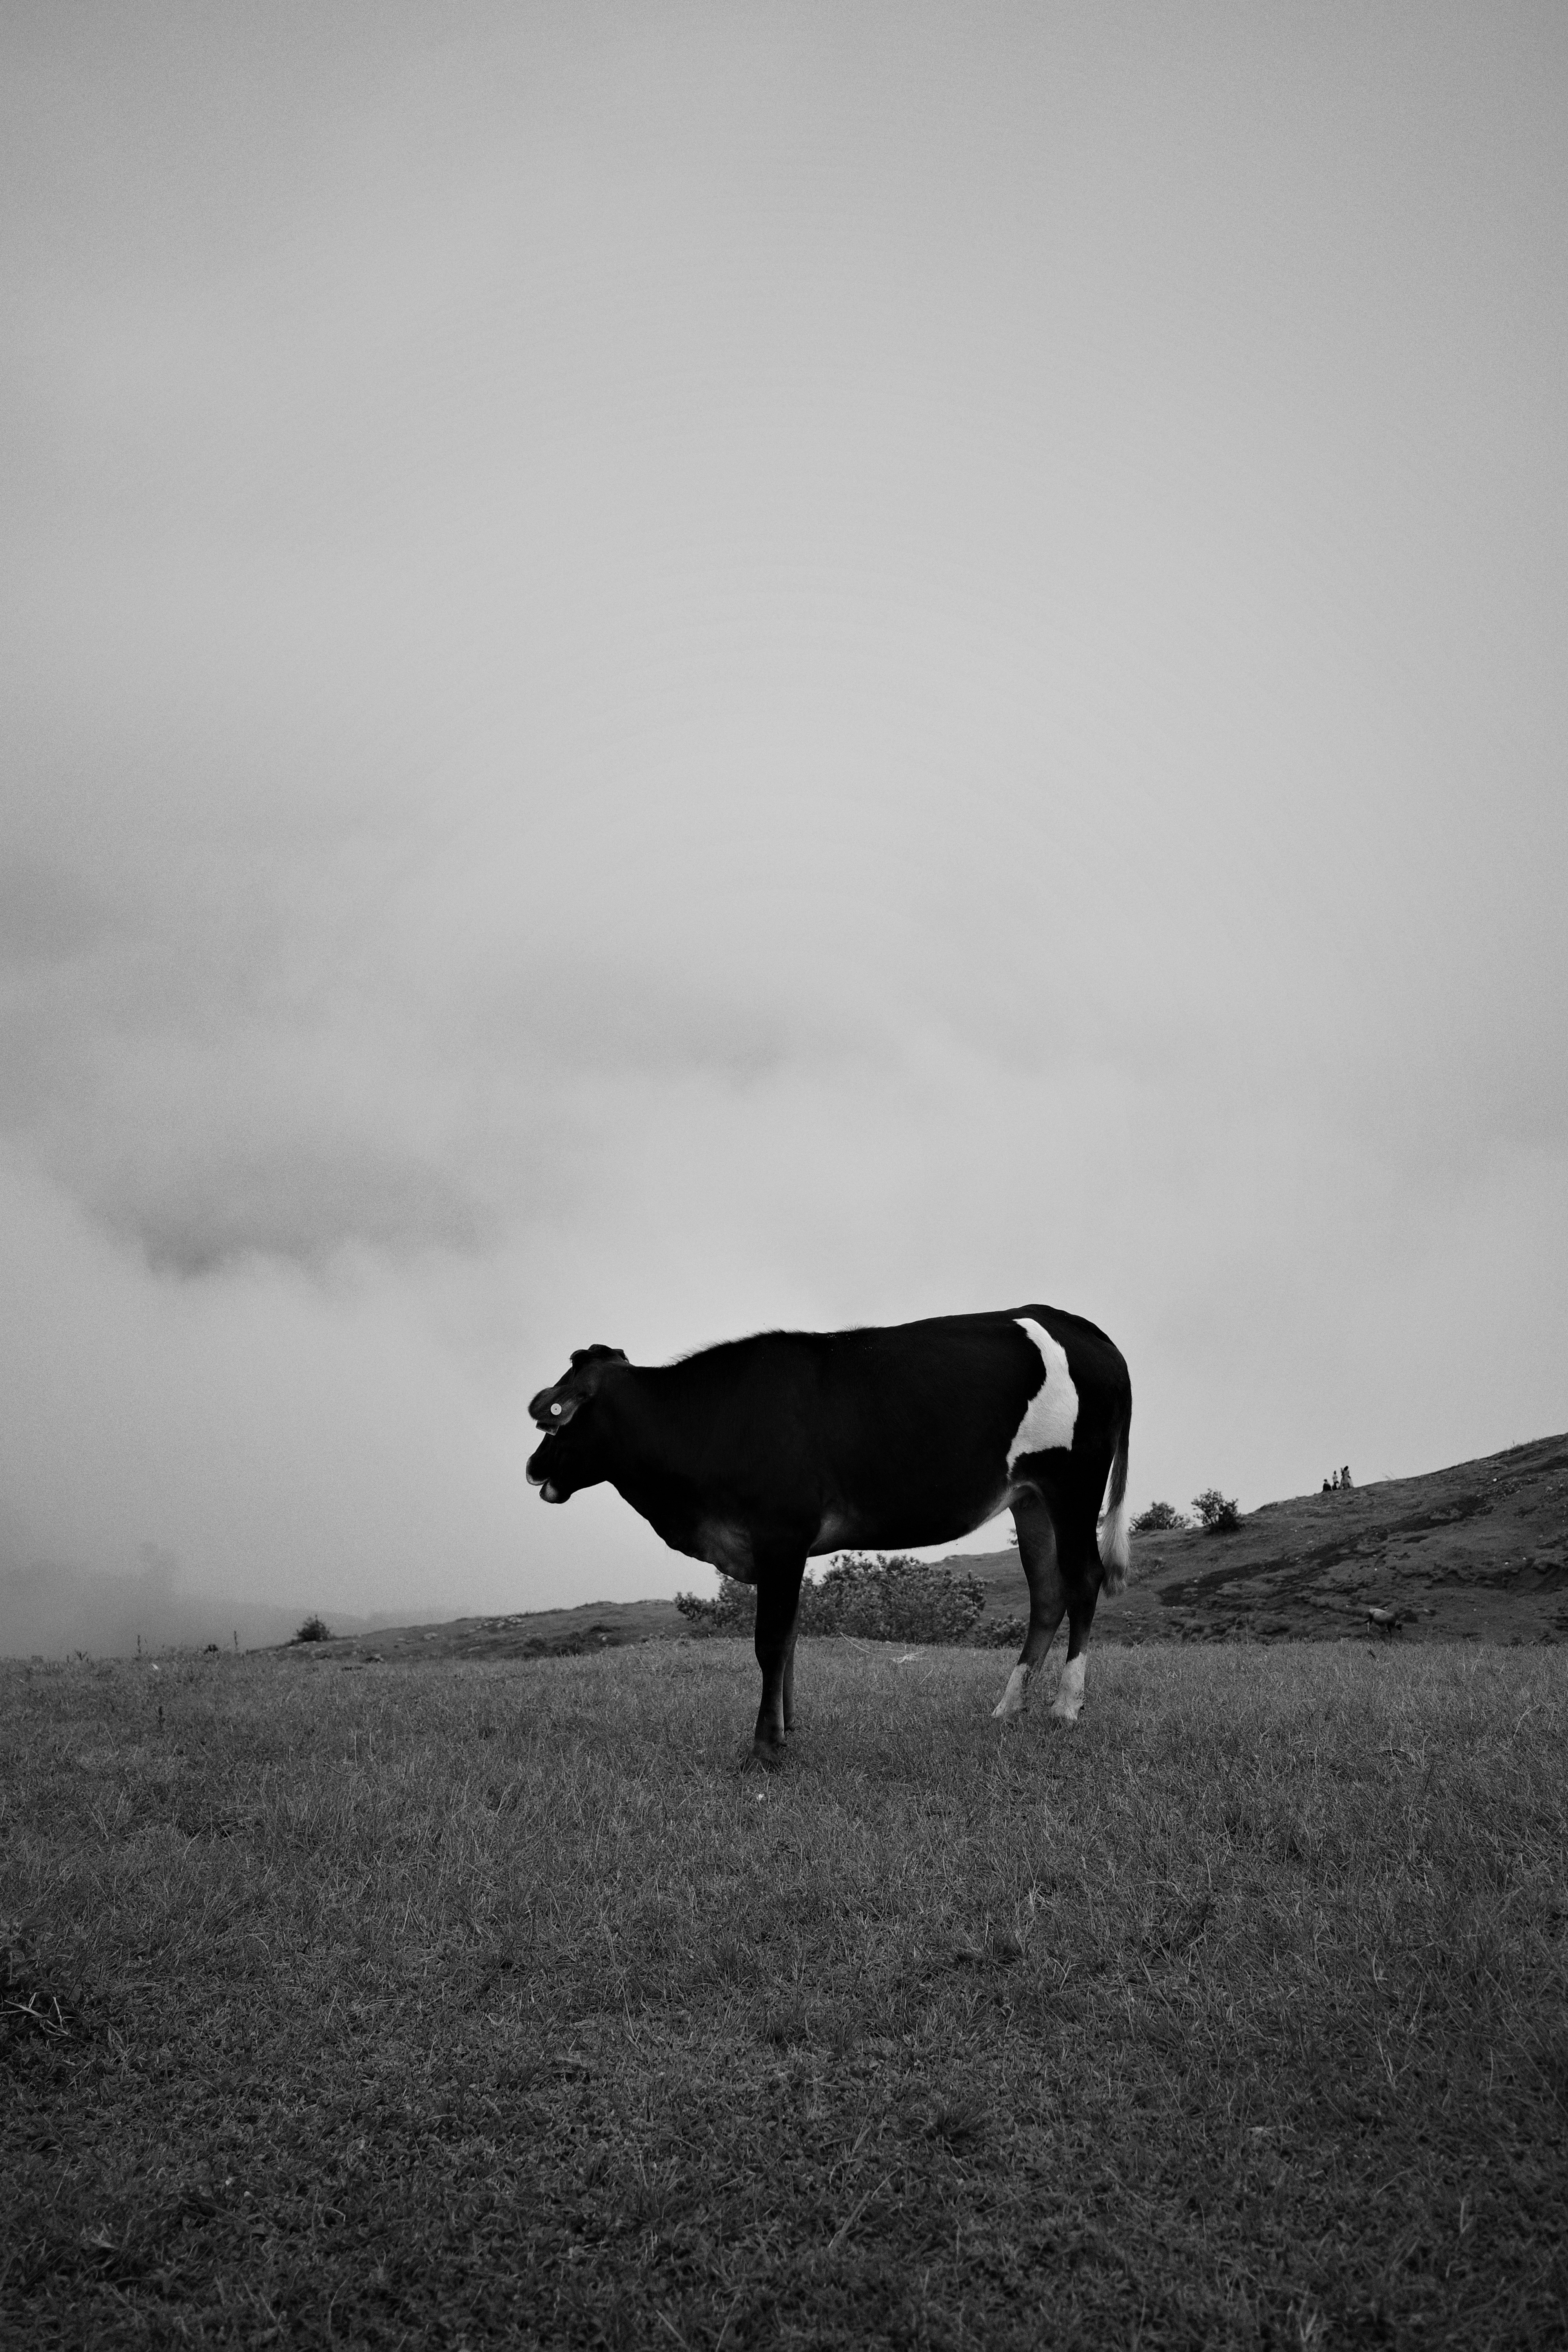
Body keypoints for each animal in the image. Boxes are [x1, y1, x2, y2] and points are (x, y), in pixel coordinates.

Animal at [526, 1306, 1132, 1765]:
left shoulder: (780, 1535)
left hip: (1074, 1483)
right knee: (1047, 1593)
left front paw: (763, 1750)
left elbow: (771, 1640)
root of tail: (1076, 1323)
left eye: (558, 1415)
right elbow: (791, 1636)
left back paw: (1066, 1706)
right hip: (1030, 1497)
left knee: (1083, 1579)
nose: (534, 1467)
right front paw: (785, 1731)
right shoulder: (780, 1547)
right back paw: (1008, 1707)